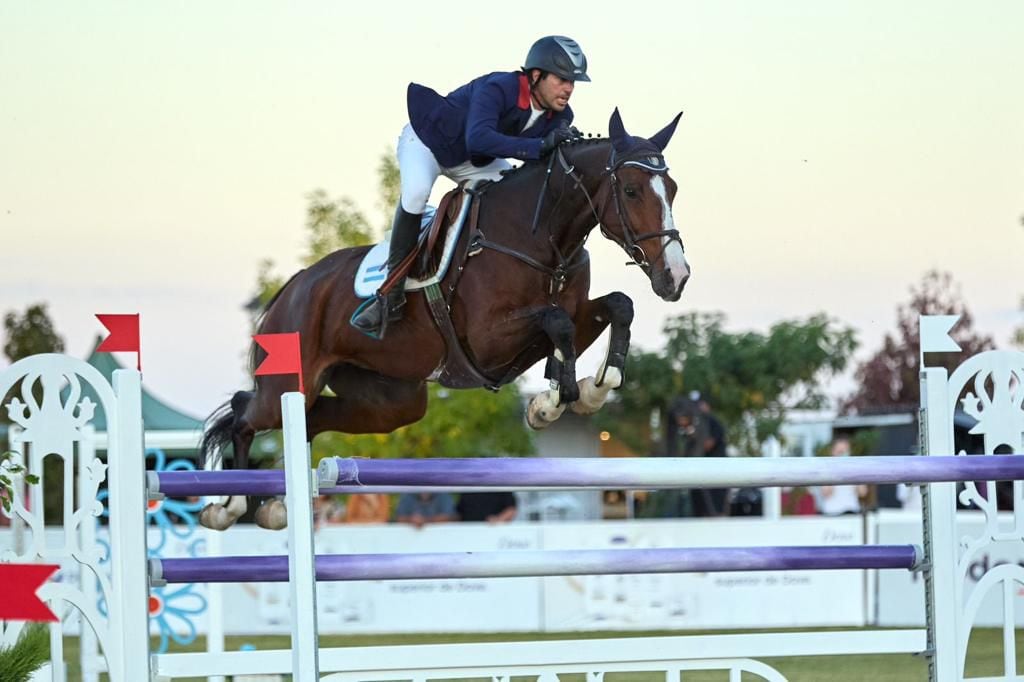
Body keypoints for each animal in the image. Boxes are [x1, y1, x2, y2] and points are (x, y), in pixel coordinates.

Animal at [197, 109, 696, 528]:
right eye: (630, 190)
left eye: (672, 190)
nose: (676, 277)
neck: (542, 238)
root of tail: (293, 285)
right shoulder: (487, 340)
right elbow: (558, 323)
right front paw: (552, 402)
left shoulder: (564, 314)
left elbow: (615, 307)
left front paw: (588, 390)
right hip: (290, 379)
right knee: (245, 411)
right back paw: (228, 506)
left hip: (391, 402)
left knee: (312, 419)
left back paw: (276, 503)